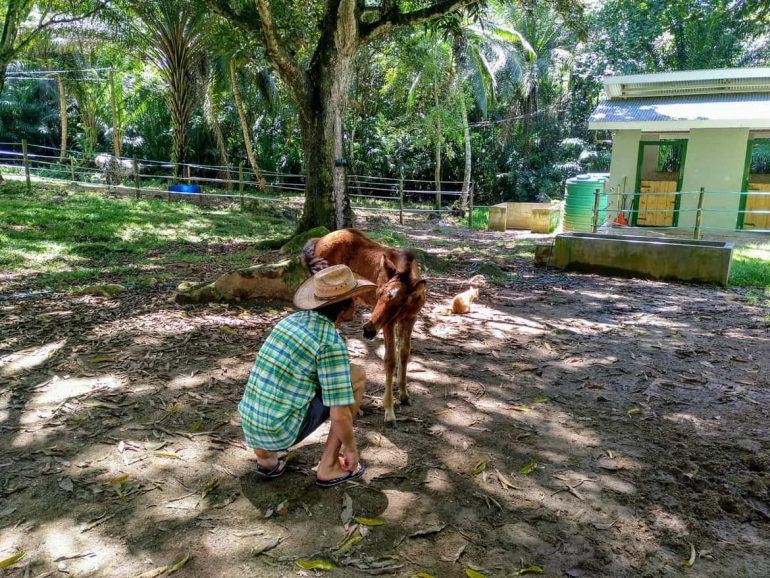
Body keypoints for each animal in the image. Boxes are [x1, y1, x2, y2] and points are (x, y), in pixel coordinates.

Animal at [304, 228, 426, 424]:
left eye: (401, 302)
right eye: (379, 292)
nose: (368, 329)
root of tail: (319, 239)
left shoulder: (410, 319)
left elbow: (404, 353)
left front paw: (404, 395)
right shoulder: (389, 323)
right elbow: (390, 360)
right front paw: (389, 411)